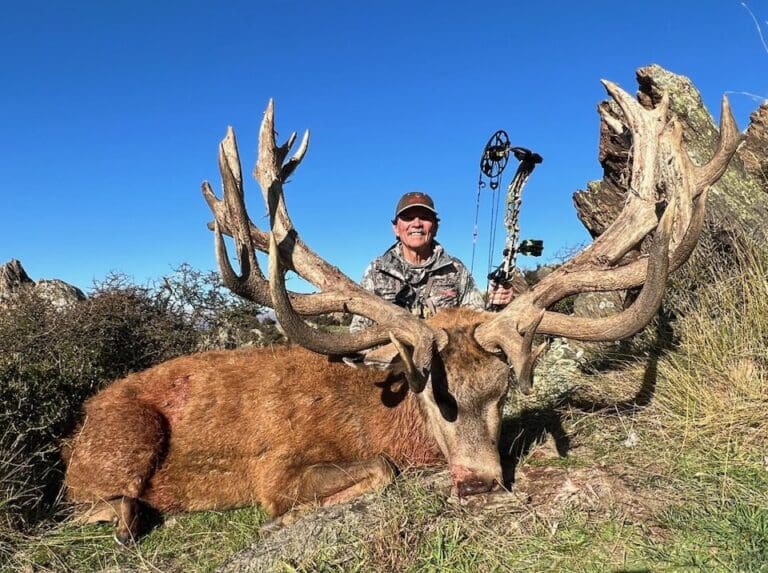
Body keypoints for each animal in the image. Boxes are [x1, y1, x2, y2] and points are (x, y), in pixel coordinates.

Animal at [63, 80, 742, 545]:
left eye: (502, 391)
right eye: (433, 395)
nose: (478, 482)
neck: (381, 413)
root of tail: (84, 416)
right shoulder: (275, 469)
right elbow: (378, 470)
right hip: (125, 438)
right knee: (93, 503)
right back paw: (128, 516)